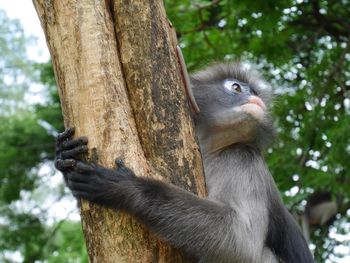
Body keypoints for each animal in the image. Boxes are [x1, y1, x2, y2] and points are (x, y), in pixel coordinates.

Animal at [55, 63, 314, 262]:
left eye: (255, 92)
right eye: (236, 87)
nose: (255, 97)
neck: (212, 149)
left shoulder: (243, 158)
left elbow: (242, 242)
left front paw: (126, 188)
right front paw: (64, 153)